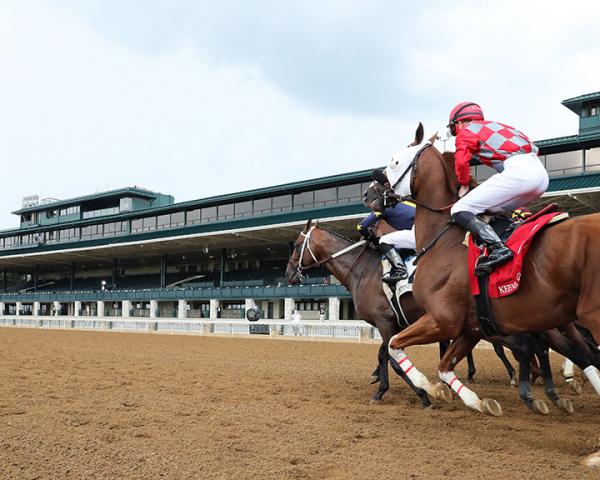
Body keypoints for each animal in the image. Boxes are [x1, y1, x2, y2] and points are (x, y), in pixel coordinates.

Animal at [384, 125, 600, 414]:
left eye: (395, 162)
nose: (373, 190)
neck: (444, 240)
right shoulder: (472, 327)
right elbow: (444, 366)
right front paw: (476, 401)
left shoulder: (443, 320)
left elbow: (394, 345)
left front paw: (431, 389)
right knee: (580, 351)